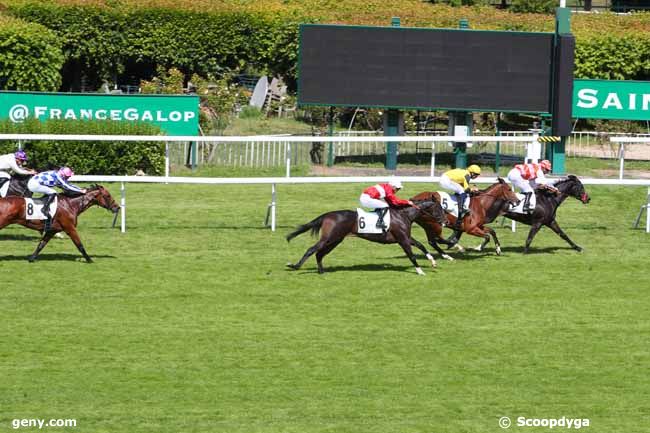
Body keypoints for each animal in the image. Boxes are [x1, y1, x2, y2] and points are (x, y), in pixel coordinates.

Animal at [288, 201, 446, 276]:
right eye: (439, 209)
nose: (445, 221)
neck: (404, 215)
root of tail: (327, 215)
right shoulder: (402, 239)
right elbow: (411, 255)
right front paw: (420, 271)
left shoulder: (406, 237)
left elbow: (421, 245)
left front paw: (434, 261)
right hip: (329, 238)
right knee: (312, 249)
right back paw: (295, 266)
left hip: (335, 239)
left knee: (320, 253)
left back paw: (321, 271)